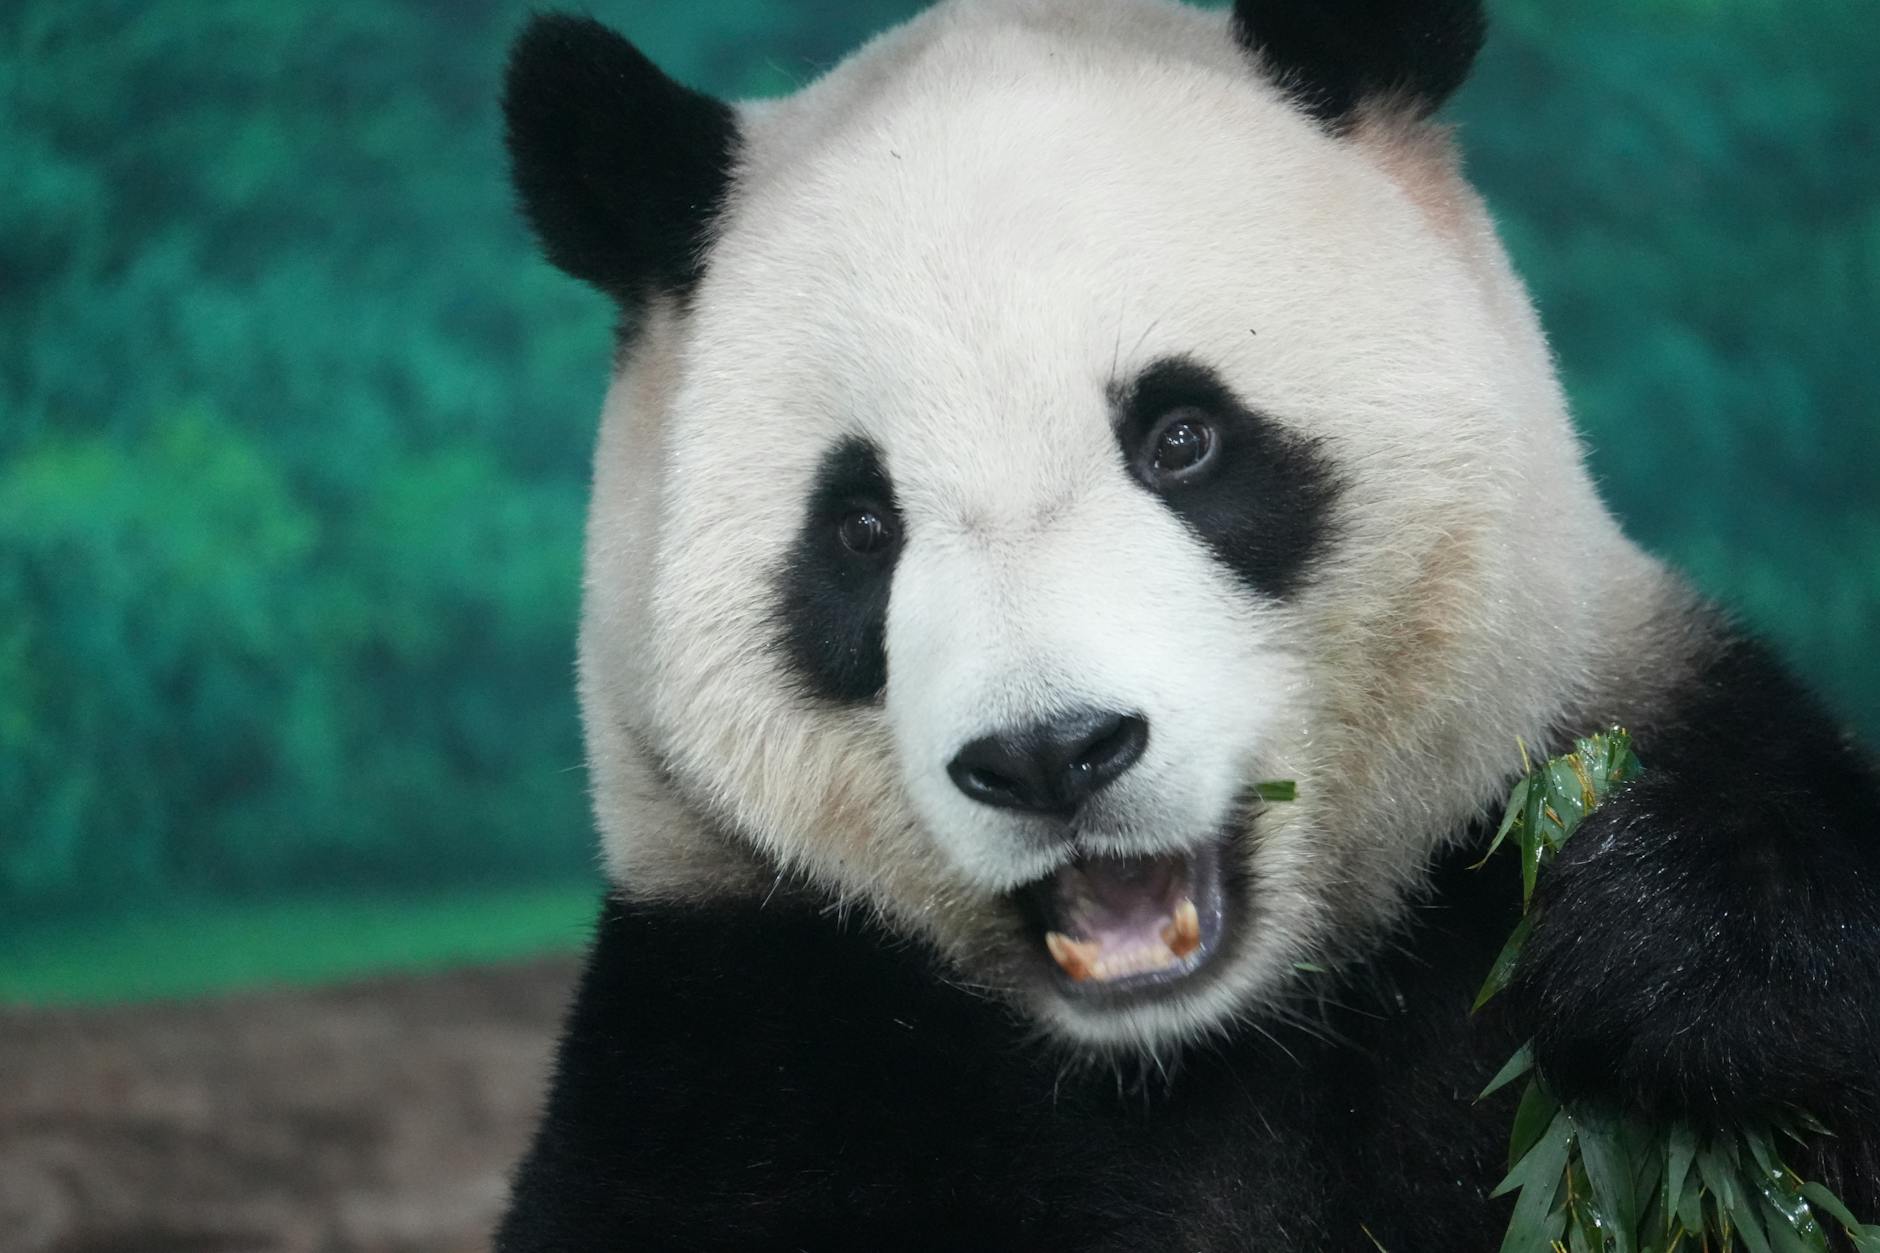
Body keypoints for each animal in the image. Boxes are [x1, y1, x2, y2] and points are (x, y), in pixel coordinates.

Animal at [494, 0, 1880, 1247]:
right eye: (860, 527)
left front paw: (1674, 947)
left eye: (1180, 439)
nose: (1049, 753)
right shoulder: (741, 1040)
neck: (1191, 1037)